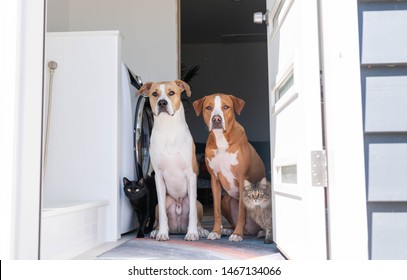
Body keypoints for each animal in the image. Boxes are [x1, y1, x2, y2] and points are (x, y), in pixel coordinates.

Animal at [139, 80, 209, 241]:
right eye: (154, 94)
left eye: (171, 93)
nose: (162, 102)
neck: (168, 129)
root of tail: (178, 229)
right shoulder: (158, 177)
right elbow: (162, 213)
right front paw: (162, 233)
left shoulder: (191, 174)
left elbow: (192, 214)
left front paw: (192, 233)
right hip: (162, 203)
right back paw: (156, 231)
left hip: (198, 203)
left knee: (196, 215)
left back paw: (200, 230)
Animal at [194, 93, 266, 241]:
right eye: (208, 107)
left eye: (226, 107)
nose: (216, 119)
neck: (221, 139)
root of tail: (251, 231)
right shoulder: (214, 180)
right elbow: (216, 210)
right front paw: (216, 231)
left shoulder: (242, 179)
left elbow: (241, 213)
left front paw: (237, 234)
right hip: (226, 199)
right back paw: (227, 230)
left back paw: (260, 232)